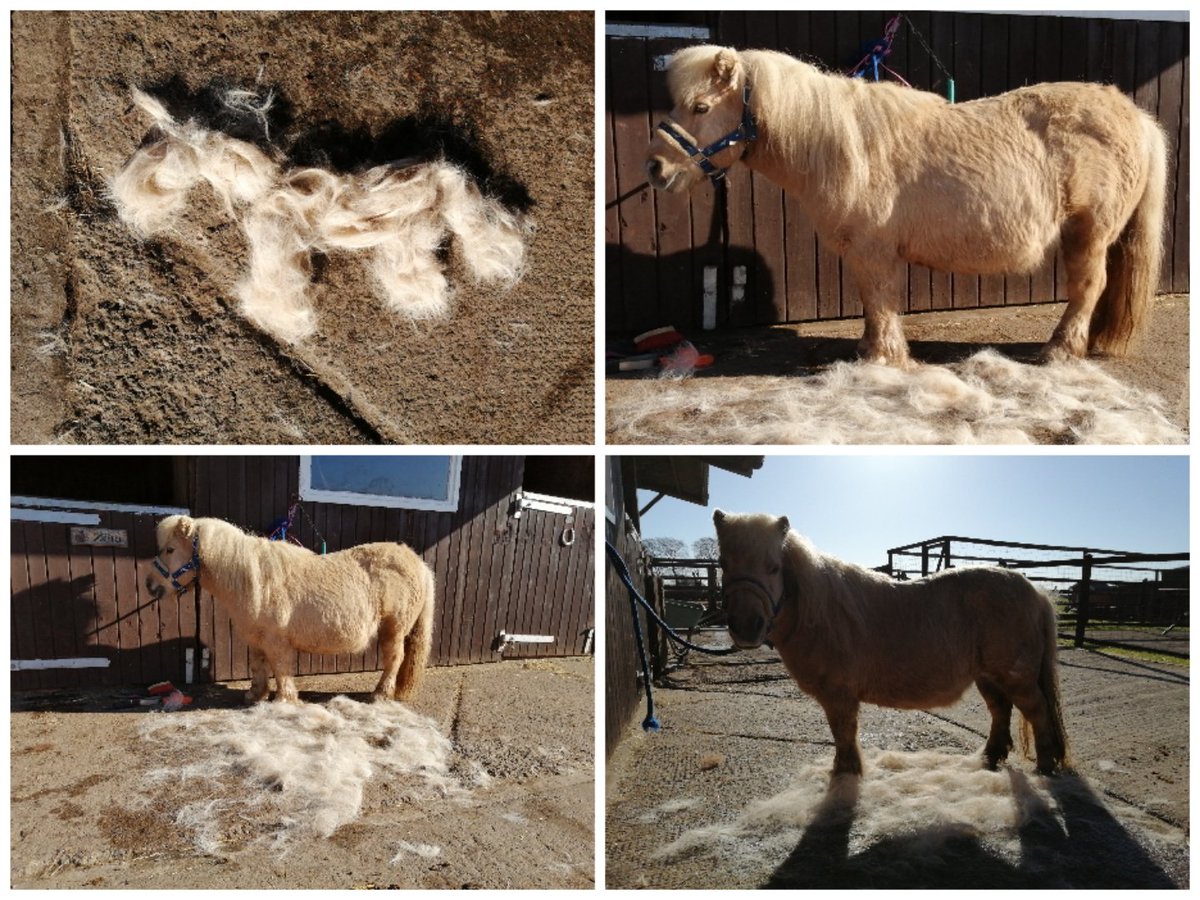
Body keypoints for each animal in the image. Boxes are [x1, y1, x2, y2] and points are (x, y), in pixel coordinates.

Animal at [145, 513, 436, 705]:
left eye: (170, 549)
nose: (150, 585)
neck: (252, 579)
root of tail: (418, 563)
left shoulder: (276, 640)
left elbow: (281, 668)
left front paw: (284, 700)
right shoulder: (256, 639)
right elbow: (258, 665)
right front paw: (255, 694)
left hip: (393, 630)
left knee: (394, 660)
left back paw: (380, 694)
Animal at [652, 44, 1166, 367]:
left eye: (699, 108)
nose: (655, 167)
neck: (842, 145)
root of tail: (1136, 116)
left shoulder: (872, 251)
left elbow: (879, 299)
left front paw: (884, 355)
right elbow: (870, 301)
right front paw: (869, 349)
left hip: (1089, 234)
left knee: (1088, 287)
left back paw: (1061, 349)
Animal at [710, 511, 1070, 777]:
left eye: (773, 567)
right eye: (724, 564)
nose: (746, 627)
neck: (820, 613)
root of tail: (1035, 591)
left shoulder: (839, 696)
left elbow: (843, 733)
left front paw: (846, 773)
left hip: (1016, 678)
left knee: (1036, 710)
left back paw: (1044, 767)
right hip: (988, 676)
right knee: (1000, 709)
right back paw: (991, 757)